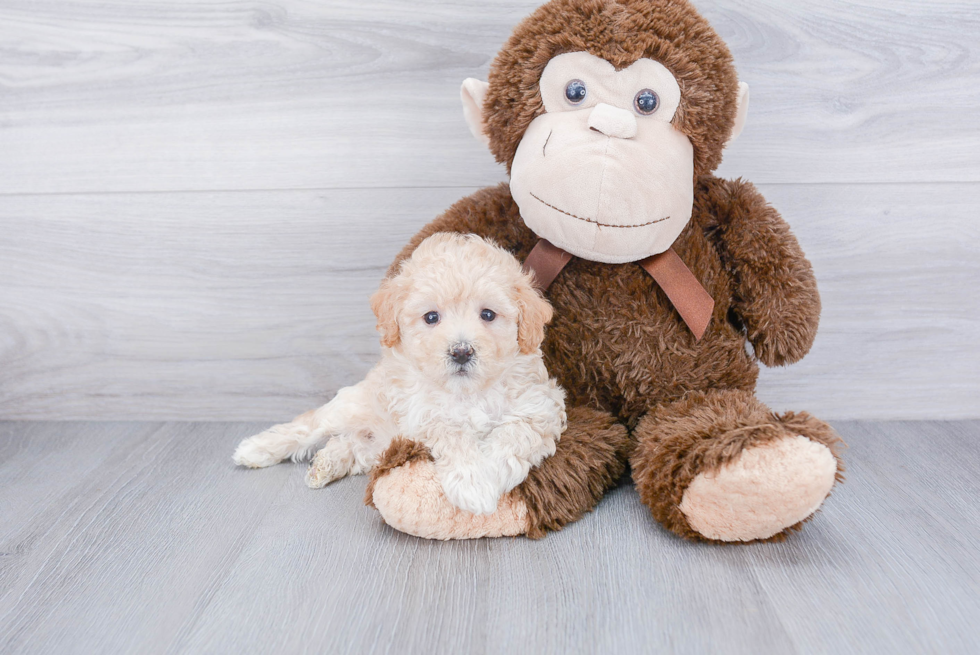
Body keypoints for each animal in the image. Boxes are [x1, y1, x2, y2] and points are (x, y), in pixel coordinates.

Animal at [232, 233, 568, 516]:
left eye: (488, 314)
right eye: (431, 317)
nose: (461, 351)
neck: (467, 393)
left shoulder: (540, 408)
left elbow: (513, 437)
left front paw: (488, 478)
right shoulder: (422, 414)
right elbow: (454, 436)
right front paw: (473, 484)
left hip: (375, 447)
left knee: (350, 446)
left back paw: (326, 464)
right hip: (352, 405)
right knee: (310, 425)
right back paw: (256, 449)